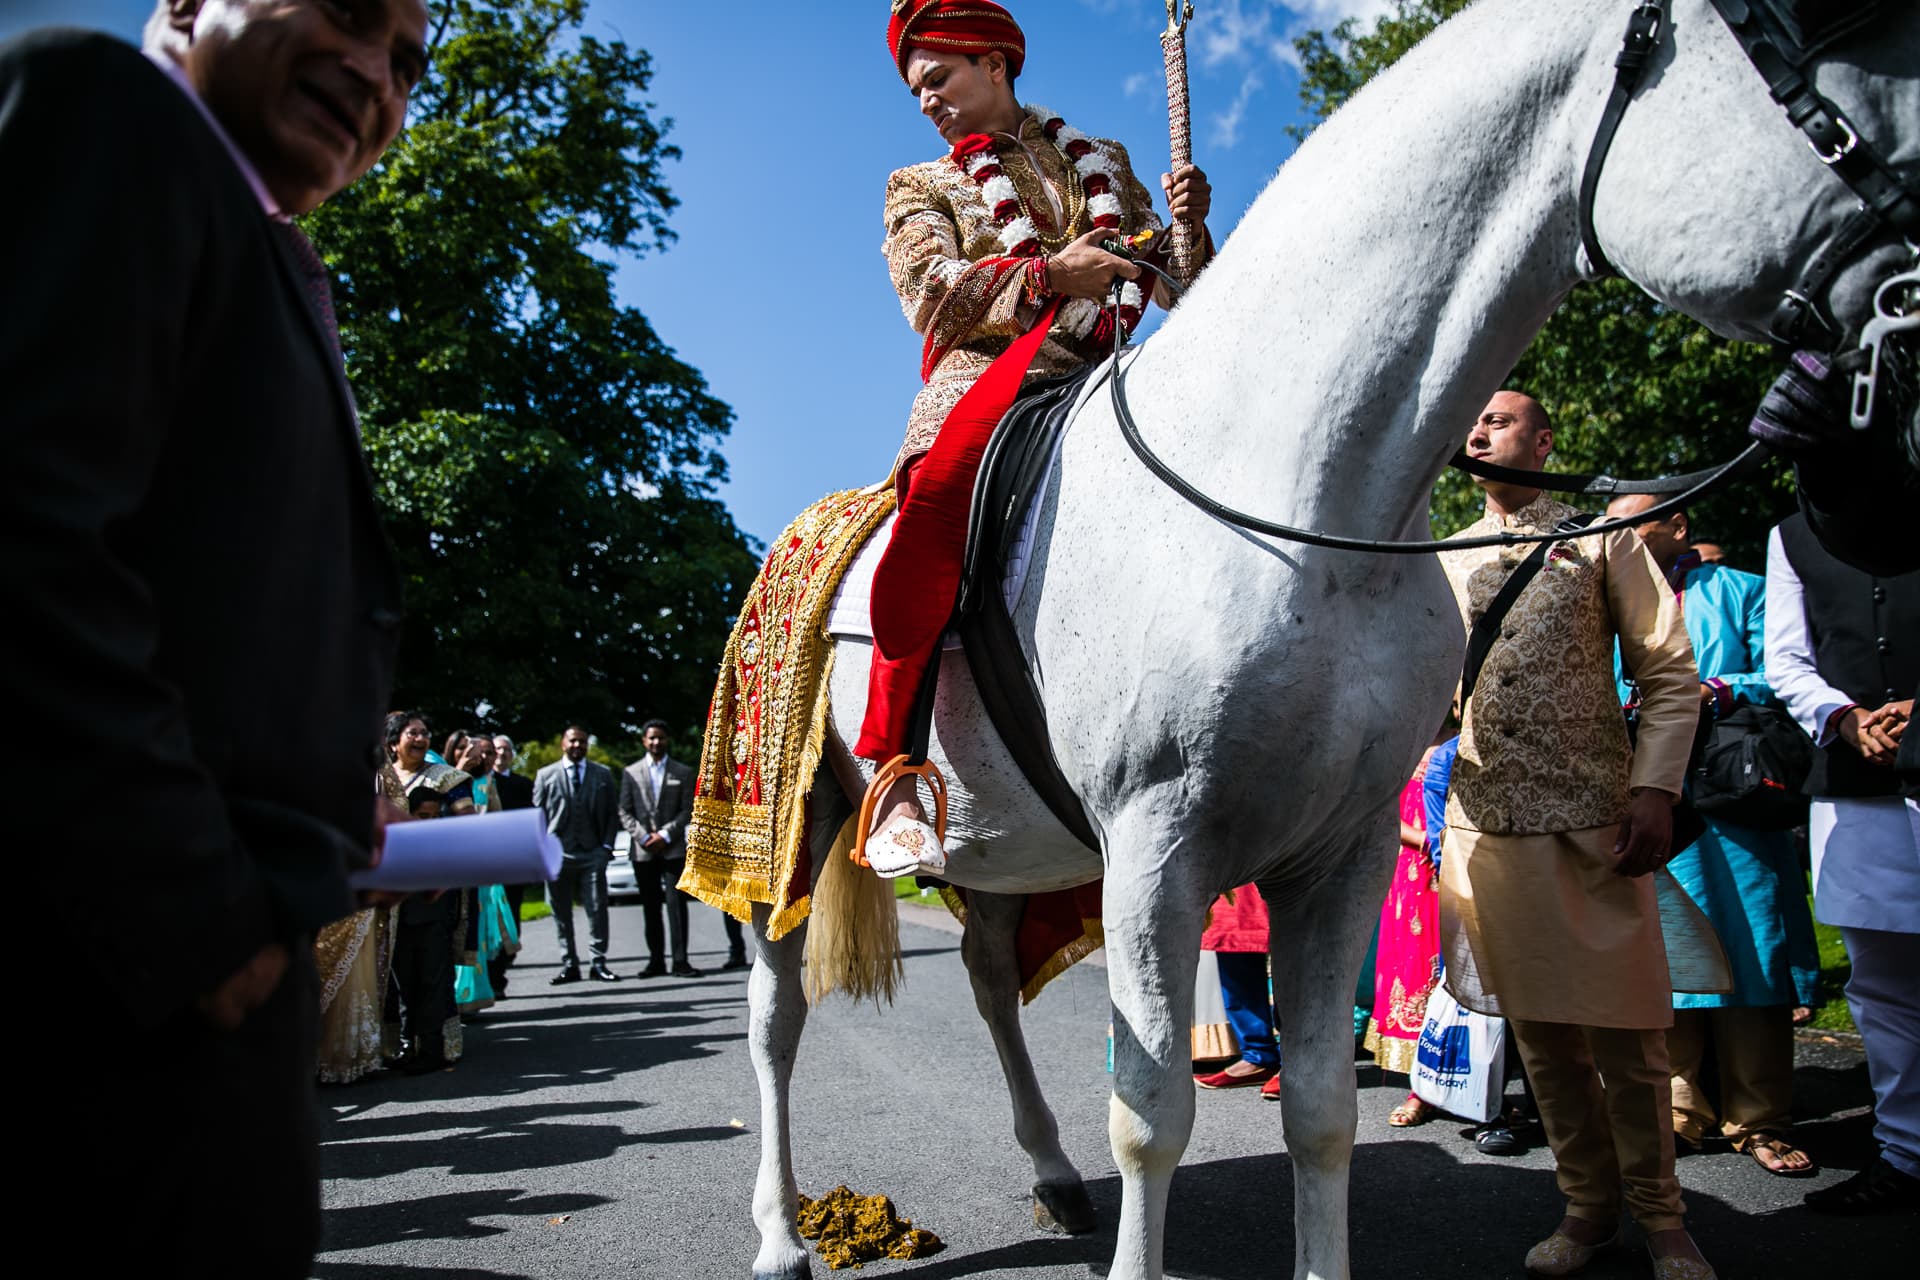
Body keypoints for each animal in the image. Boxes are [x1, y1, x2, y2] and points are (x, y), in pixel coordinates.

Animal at [737, 2, 1920, 1280]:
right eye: (1820, 43)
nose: (1876, 482)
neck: (1303, 499)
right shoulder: (1156, 852)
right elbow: (1152, 1112)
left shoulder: (1340, 847)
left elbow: (1316, 1105)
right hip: (794, 829)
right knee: (775, 1019)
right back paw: (782, 1230)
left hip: (1012, 851)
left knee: (994, 980)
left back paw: (1050, 1172)